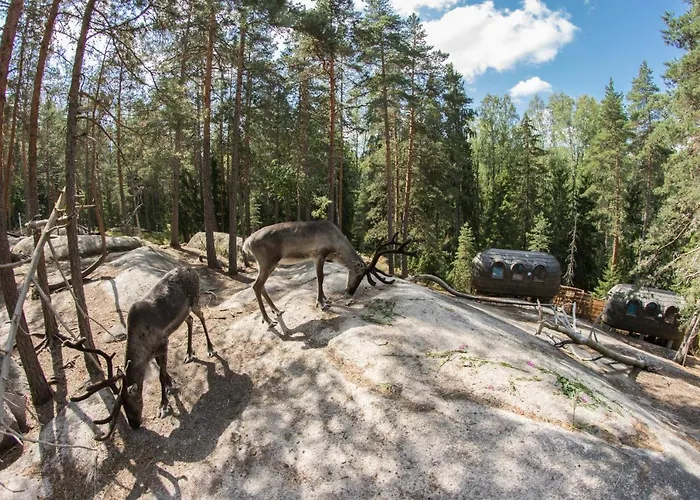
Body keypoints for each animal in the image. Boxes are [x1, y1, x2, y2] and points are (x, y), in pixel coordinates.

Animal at [67, 266, 214, 440]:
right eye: (123, 405)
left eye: (134, 402)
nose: (135, 425)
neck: (142, 344)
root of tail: (190, 269)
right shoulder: (154, 350)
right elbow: (162, 370)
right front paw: (171, 384)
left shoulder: (162, 343)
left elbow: (161, 376)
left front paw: (163, 406)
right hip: (184, 313)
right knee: (190, 320)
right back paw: (189, 354)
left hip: (195, 300)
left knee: (202, 316)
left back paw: (210, 348)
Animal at [242, 220, 416, 326]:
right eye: (359, 274)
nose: (350, 291)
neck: (336, 247)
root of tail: (246, 243)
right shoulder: (319, 254)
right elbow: (320, 279)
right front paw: (321, 303)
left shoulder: (318, 257)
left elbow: (321, 279)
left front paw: (326, 299)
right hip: (267, 262)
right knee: (256, 286)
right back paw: (268, 320)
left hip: (267, 264)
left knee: (261, 286)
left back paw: (277, 311)